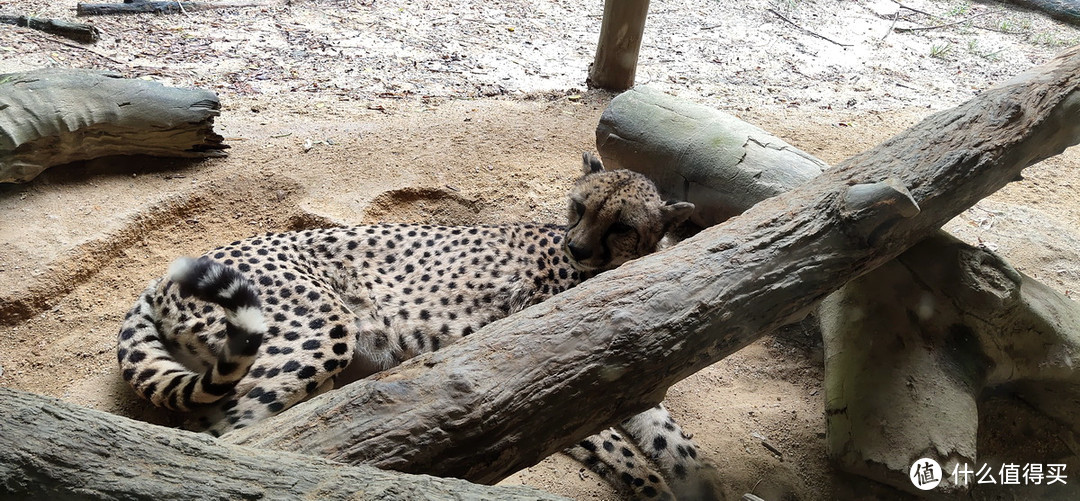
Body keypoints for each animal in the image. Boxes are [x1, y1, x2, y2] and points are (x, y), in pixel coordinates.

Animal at [116, 154, 717, 498]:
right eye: (578, 208)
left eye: (621, 226)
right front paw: (655, 488)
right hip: (320, 332)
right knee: (221, 434)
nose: (577, 247)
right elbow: (621, 450)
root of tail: (160, 279)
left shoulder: (631, 377)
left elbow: (673, 441)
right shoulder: (534, 372)